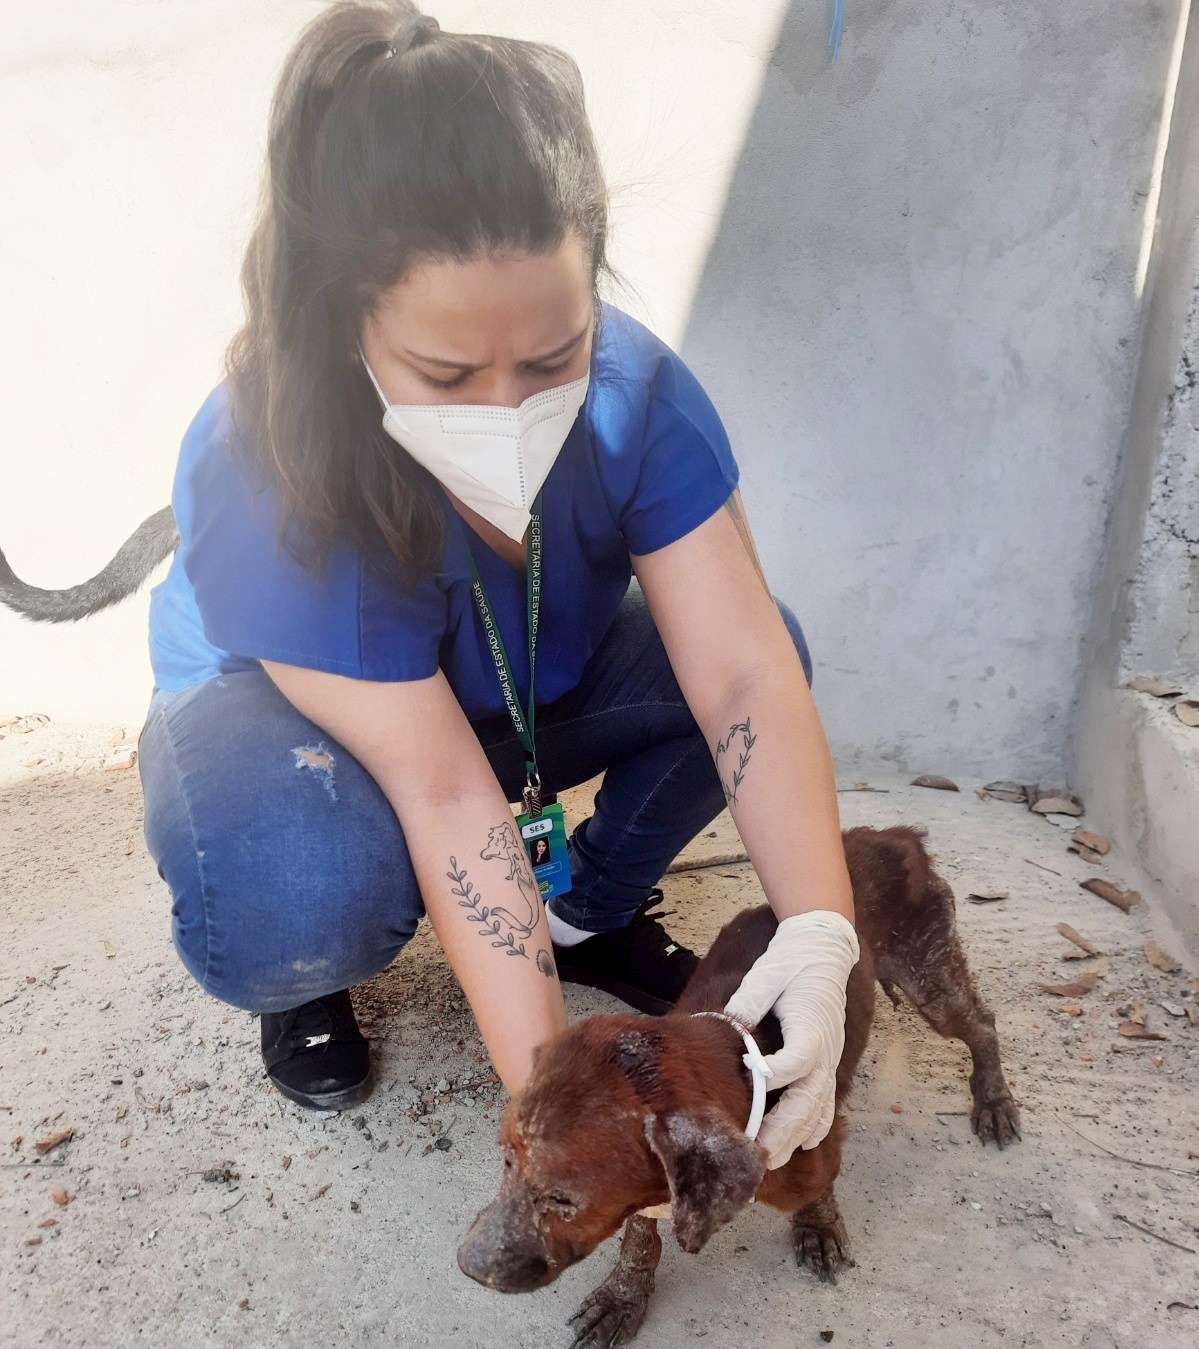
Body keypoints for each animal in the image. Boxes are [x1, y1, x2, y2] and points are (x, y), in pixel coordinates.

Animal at [458, 825, 1019, 1343]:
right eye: (506, 1162)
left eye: (564, 1201)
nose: (466, 1264)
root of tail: (893, 836)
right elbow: (641, 1236)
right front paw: (622, 1297)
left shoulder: (816, 1135)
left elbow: (817, 1185)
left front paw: (818, 1226)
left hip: (928, 975)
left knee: (981, 1023)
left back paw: (994, 1101)